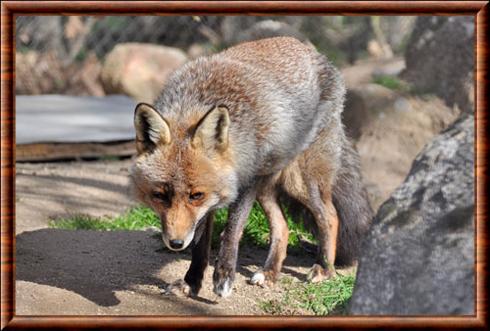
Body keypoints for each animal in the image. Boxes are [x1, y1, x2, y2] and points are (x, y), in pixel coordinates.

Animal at [130, 36, 372, 298]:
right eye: (159, 195)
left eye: (196, 195)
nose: (175, 244)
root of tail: (310, 49)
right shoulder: (215, 197)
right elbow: (199, 243)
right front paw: (191, 282)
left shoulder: (246, 181)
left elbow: (232, 231)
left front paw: (224, 276)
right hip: (268, 187)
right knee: (283, 227)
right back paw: (270, 273)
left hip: (299, 182)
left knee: (330, 216)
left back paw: (324, 269)